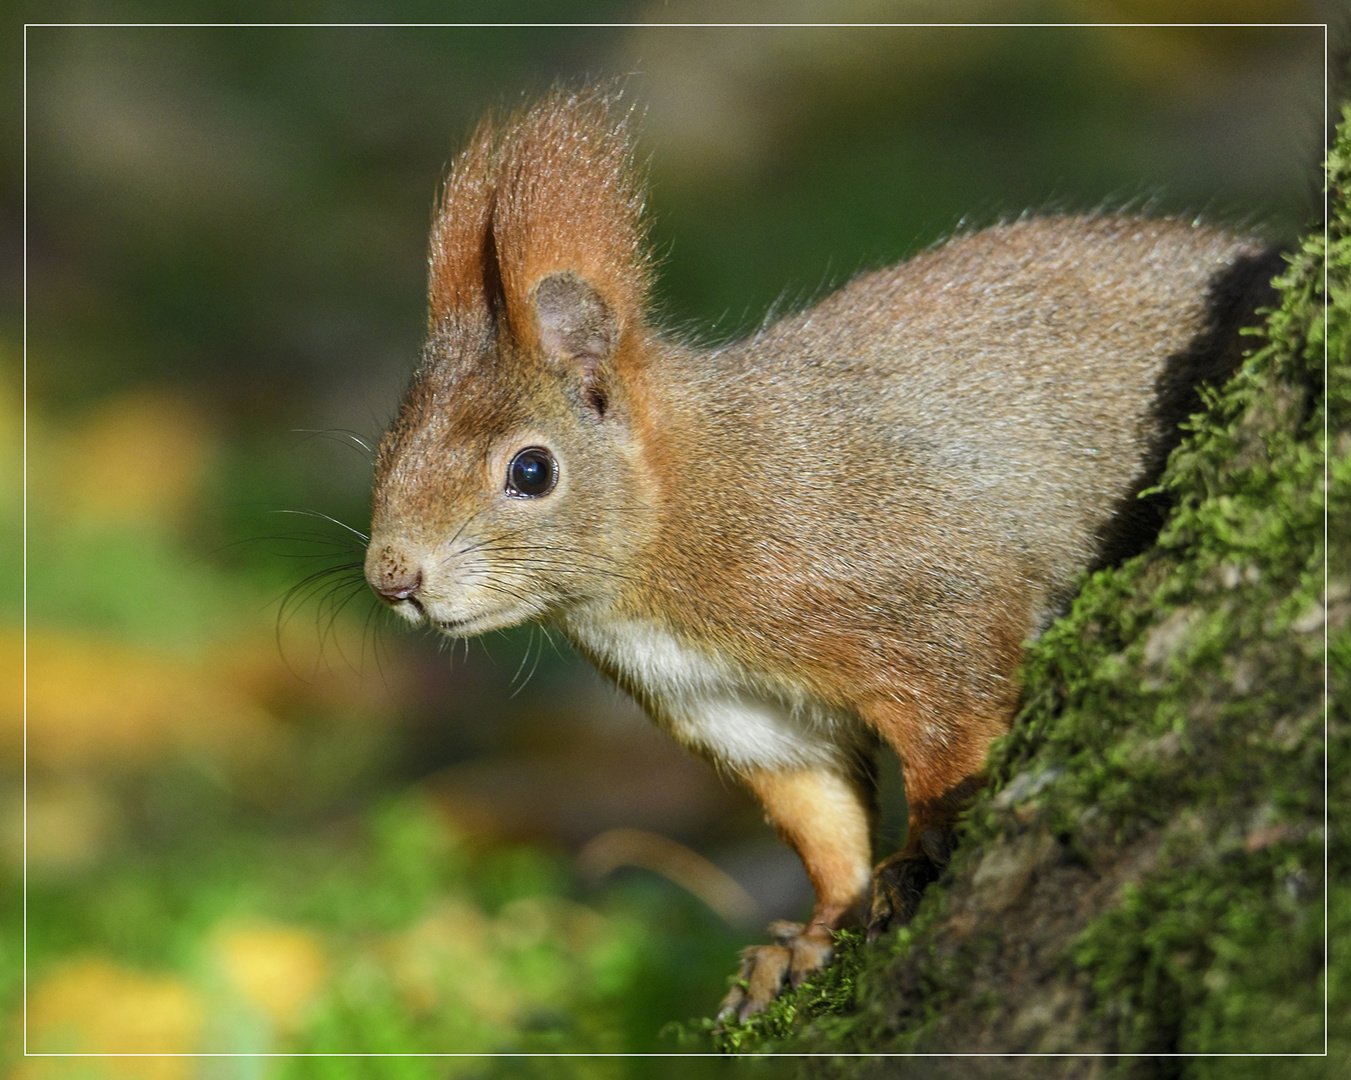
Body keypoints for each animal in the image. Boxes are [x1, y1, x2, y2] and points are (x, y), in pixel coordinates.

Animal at [364, 86, 1280, 1021]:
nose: (391, 578)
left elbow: (955, 735)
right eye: (386, 449)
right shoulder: (742, 714)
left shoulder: (912, 591)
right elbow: (822, 822)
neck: (685, 518)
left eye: (532, 470)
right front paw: (810, 937)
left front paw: (920, 854)